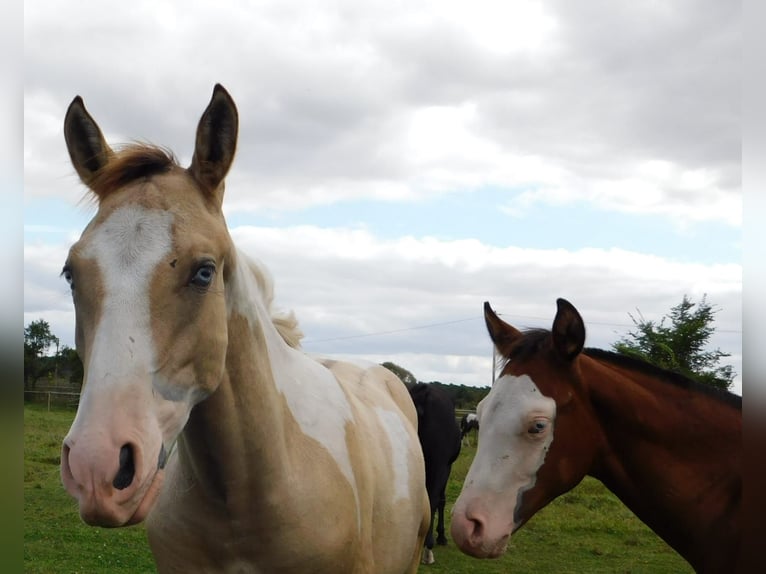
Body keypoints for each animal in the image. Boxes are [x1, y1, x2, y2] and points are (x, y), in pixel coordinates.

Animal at [412, 384, 464, 564]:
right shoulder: (446, 466)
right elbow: (441, 500)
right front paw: (441, 536)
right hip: (438, 466)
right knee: (433, 498)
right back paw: (428, 547)